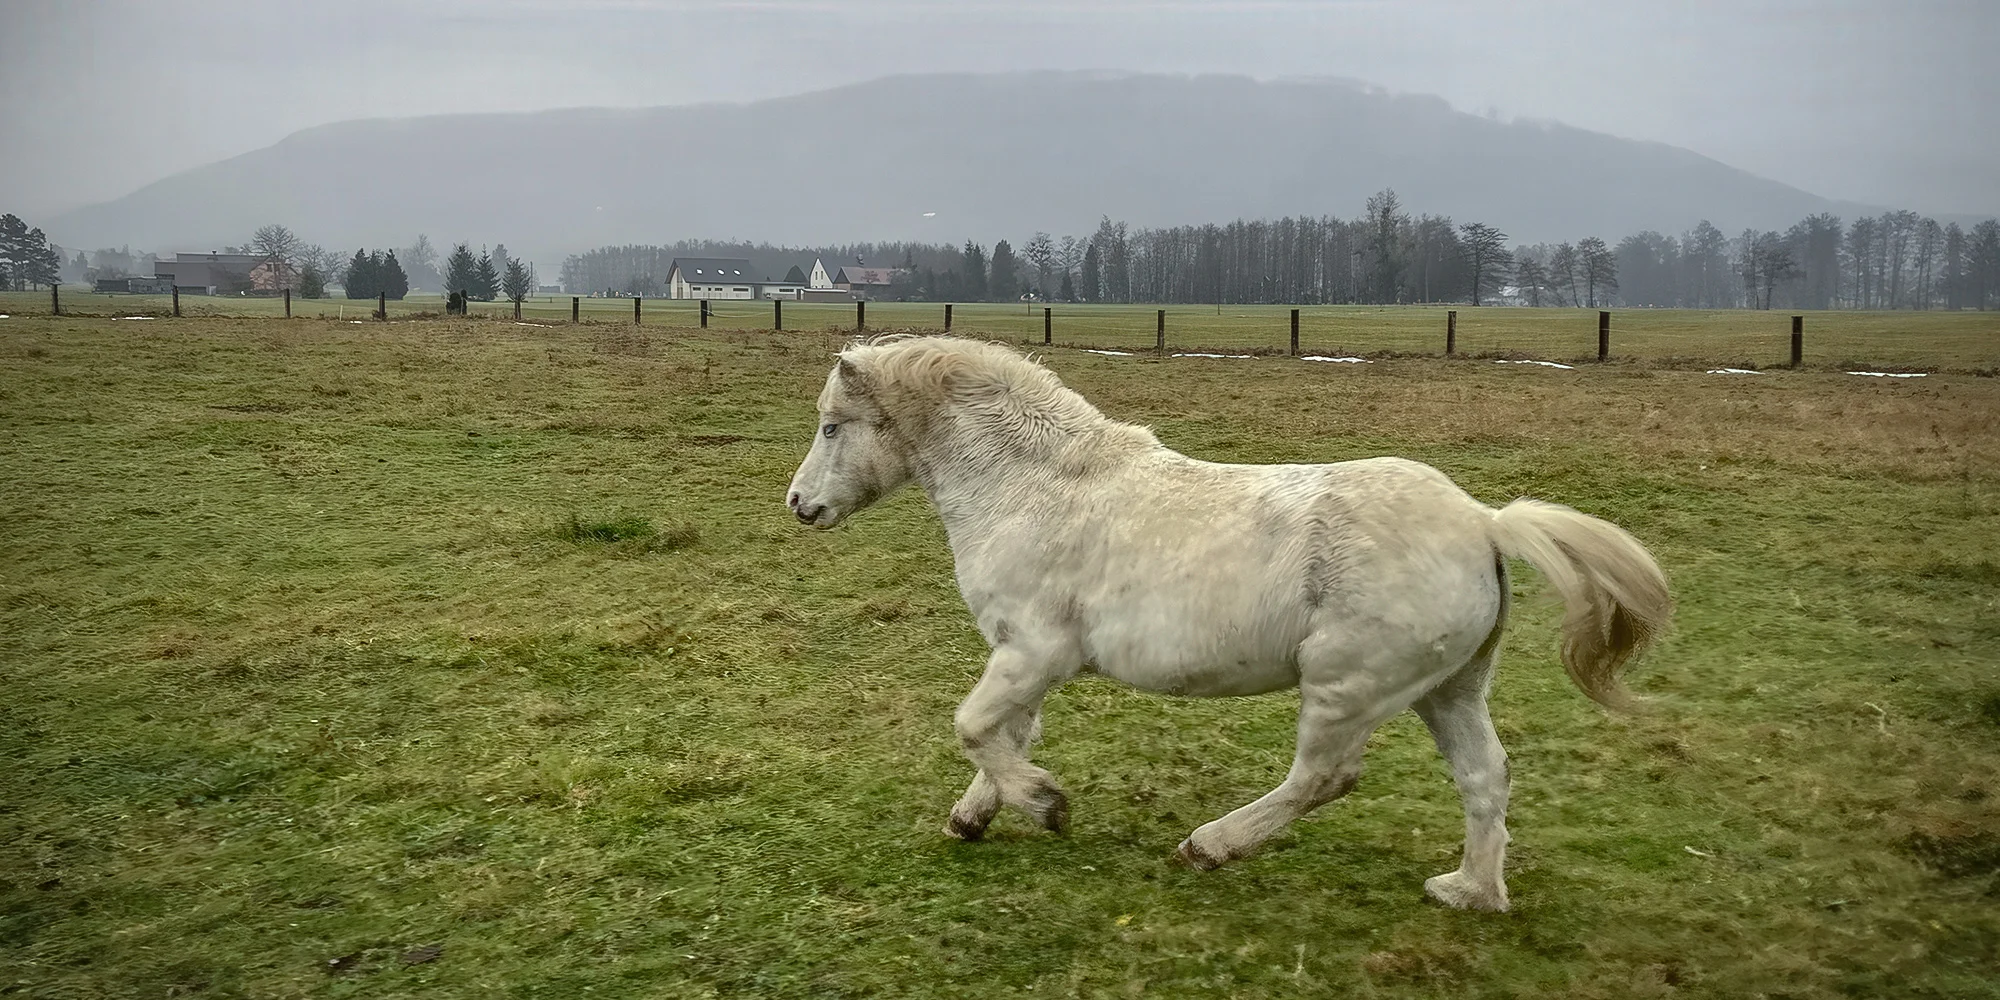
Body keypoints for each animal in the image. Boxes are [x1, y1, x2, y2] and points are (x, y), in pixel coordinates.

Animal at [784, 334, 1672, 908]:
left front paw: (1044, 805)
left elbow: (973, 726)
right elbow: (1005, 733)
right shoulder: (1022, 658)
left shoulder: (1034, 652)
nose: (799, 506)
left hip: (1347, 687)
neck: (1037, 488)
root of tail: (1485, 525)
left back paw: (1209, 846)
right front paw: (977, 816)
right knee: (1486, 778)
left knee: (1324, 777)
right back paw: (1471, 892)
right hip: (1447, 690)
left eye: (832, 426)